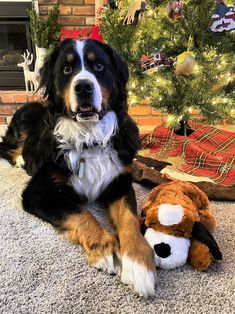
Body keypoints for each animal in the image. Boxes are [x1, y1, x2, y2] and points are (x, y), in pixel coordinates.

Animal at [0, 39, 158, 296]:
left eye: (99, 66)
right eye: (67, 69)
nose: (83, 87)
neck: (88, 139)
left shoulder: (118, 182)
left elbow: (129, 218)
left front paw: (138, 261)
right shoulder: (37, 193)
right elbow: (80, 212)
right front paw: (103, 247)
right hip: (25, 117)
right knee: (7, 148)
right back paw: (20, 160)